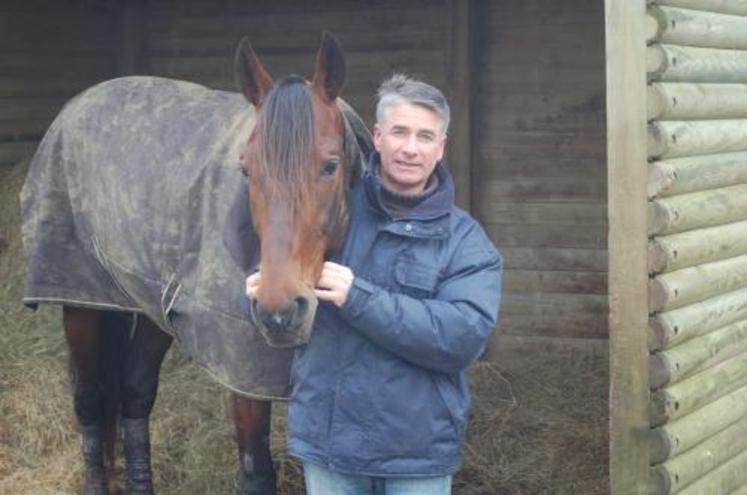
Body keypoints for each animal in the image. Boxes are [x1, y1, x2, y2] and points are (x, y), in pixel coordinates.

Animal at [21, 33, 372, 494]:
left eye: (330, 167)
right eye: (246, 171)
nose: (277, 310)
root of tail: (78, 103)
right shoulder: (243, 369)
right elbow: (256, 472)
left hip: (152, 305)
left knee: (134, 391)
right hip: (80, 299)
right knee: (91, 400)